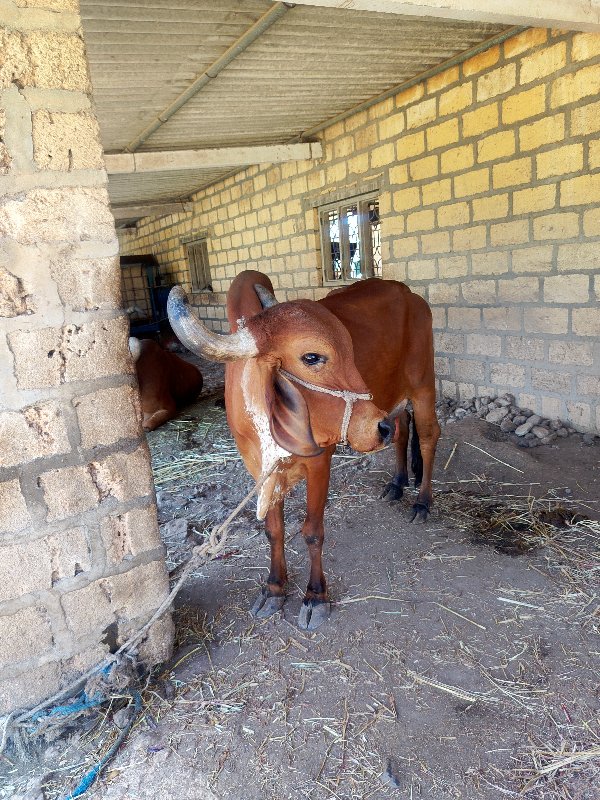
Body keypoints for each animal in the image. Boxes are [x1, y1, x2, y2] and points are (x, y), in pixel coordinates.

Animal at [166, 272, 438, 628]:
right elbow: (273, 530)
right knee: (403, 430)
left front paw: (315, 596)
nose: (378, 428)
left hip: (423, 386)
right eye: (312, 357)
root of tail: (407, 293)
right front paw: (274, 588)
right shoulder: (259, 472)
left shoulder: (320, 462)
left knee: (429, 436)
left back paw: (422, 501)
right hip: (397, 397)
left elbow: (312, 532)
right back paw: (397, 483)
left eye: (350, 349)